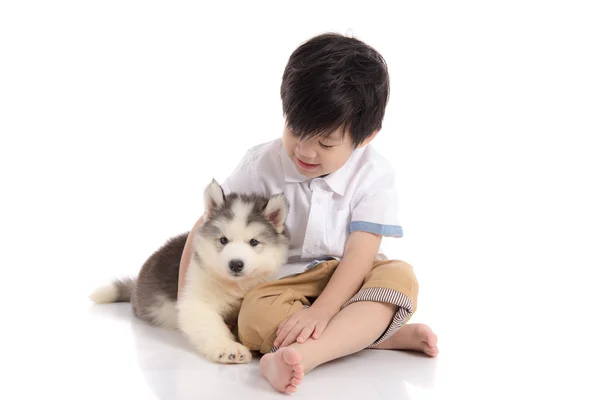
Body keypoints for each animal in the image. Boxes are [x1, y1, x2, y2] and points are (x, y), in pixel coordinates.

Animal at [89, 180, 292, 364]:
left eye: (254, 242)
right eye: (223, 240)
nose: (236, 264)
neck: (235, 286)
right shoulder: (197, 302)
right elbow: (211, 326)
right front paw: (228, 348)